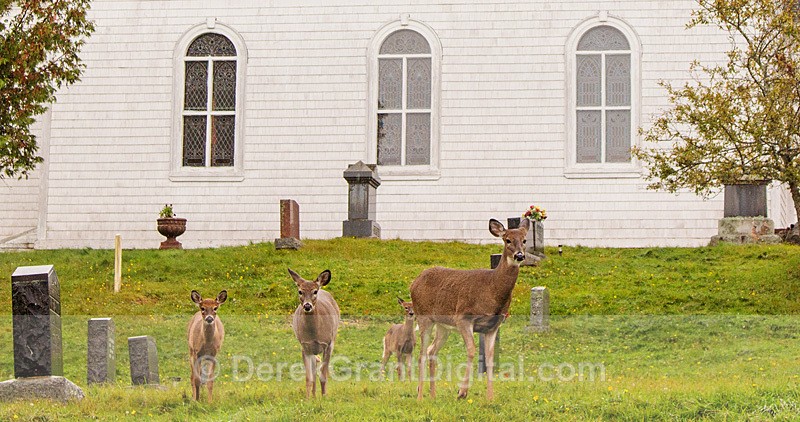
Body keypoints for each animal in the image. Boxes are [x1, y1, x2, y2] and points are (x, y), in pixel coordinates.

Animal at [289, 268, 340, 399]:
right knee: (314, 368)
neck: (314, 333)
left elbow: (323, 375)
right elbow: (309, 378)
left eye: (315, 291)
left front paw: (324, 396)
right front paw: (307, 399)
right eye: (300, 291)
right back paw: (313, 395)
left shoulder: (328, 344)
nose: (307, 306)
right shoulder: (305, 347)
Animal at [410, 218, 529, 401]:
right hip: (424, 317)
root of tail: (414, 282)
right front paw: (462, 392)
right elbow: (472, 351)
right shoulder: (463, 318)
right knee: (421, 353)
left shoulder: (493, 326)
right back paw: (420, 396)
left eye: (524, 240)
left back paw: (432, 395)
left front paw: (490, 398)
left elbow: (489, 358)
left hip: (443, 326)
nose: (519, 255)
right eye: (507, 240)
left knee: (431, 350)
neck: (492, 289)